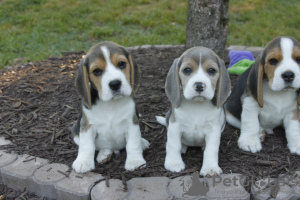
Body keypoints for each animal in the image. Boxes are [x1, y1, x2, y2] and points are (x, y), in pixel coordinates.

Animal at [70, 41, 150, 173]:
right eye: (97, 71)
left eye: (122, 64)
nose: (115, 84)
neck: (110, 104)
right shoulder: (87, 126)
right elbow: (87, 145)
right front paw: (83, 162)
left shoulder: (132, 123)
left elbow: (133, 144)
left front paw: (135, 161)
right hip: (76, 131)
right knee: (101, 147)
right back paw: (104, 154)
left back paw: (142, 142)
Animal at [156, 46, 231, 175]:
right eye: (187, 70)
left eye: (211, 70)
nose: (199, 85)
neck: (197, 105)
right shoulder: (175, 126)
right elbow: (173, 145)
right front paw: (174, 163)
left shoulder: (214, 130)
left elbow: (211, 149)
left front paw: (210, 168)